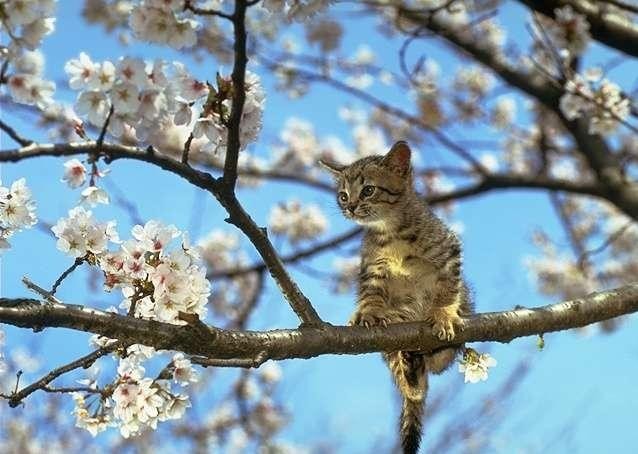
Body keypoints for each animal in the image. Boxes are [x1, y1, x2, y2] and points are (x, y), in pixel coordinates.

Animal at [320, 142, 476, 454]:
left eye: (368, 190)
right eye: (343, 195)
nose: (350, 207)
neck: (391, 231)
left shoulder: (449, 252)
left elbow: (447, 289)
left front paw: (443, 314)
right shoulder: (372, 268)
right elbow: (371, 294)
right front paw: (369, 313)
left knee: (438, 366)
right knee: (412, 387)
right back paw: (407, 359)